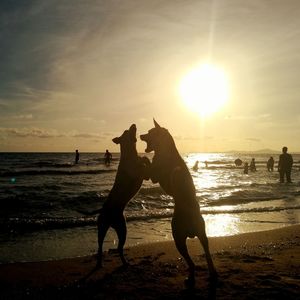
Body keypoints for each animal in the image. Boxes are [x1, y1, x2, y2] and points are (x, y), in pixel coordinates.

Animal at [139, 118, 217, 288]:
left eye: (150, 132)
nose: (141, 135)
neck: (165, 150)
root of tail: (191, 228)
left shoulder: (154, 174)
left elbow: (149, 164)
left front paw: (143, 159)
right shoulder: (154, 176)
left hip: (178, 238)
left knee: (193, 261)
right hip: (199, 235)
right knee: (205, 255)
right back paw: (210, 273)